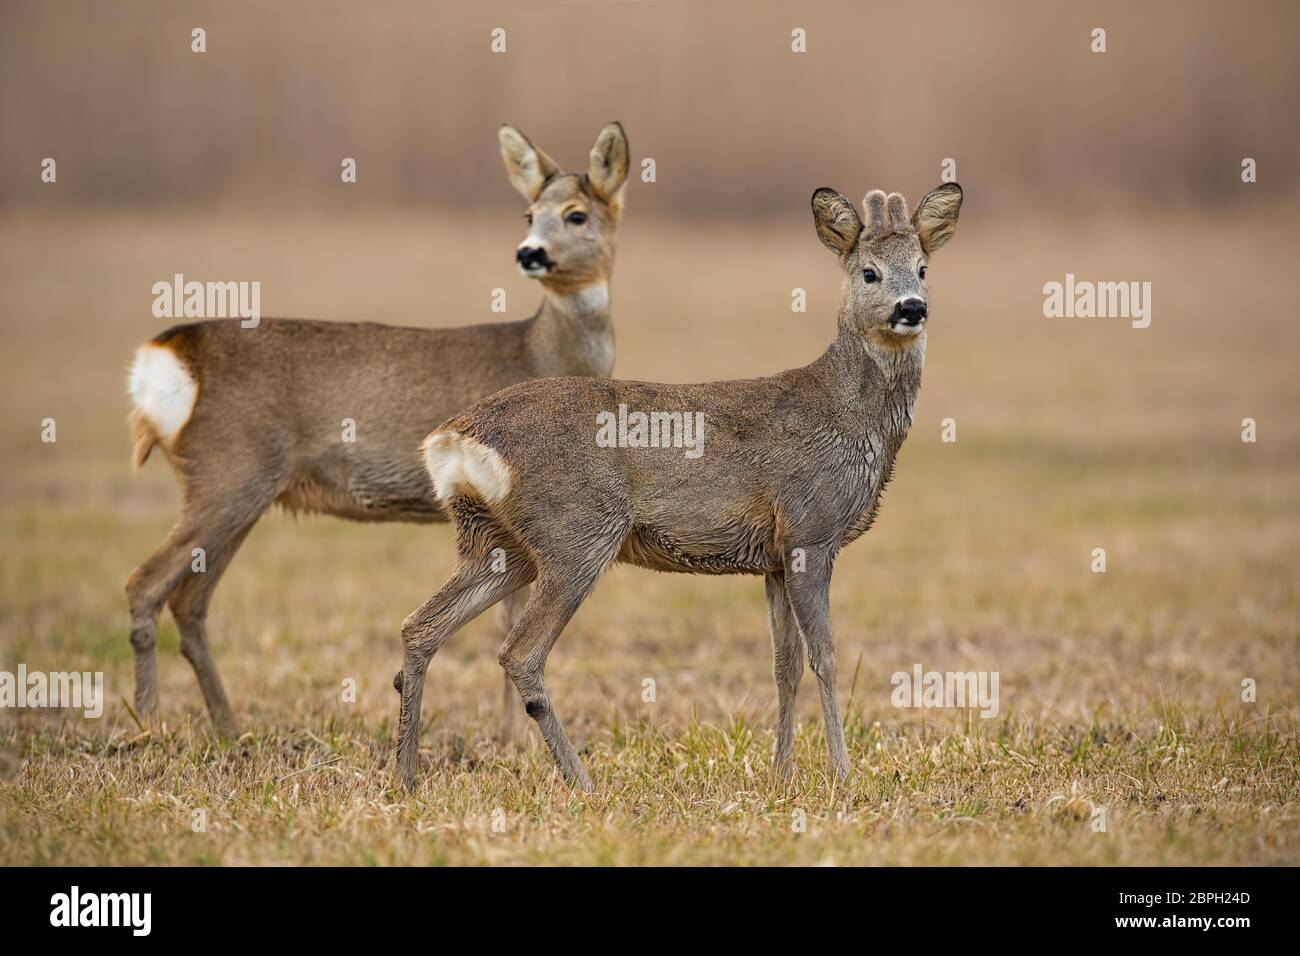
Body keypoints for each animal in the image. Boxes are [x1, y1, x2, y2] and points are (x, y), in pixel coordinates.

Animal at [125, 119, 629, 733]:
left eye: (576, 215)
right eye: (529, 214)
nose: (529, 252)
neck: (543, 352)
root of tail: (168, 354)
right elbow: (507, 617)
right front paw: (513, 738)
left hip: (238, 490)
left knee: (189, 602)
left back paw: (228, 727)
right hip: (228, 473)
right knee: (145, 585)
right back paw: (148, 724)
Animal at [395, 180, 967, 790]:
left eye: (923, 268)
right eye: (869, 272)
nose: (912, 308)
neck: (850, 417)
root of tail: (454, 437)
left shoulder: (773, 556)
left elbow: (784, 665)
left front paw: (782, 773)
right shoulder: (810, 529)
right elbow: (827, 658)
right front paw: (842, 774)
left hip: (497, 542)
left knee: (421, 626)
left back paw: (405, 774)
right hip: (575, 533)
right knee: (519, 652)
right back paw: (582, 781)